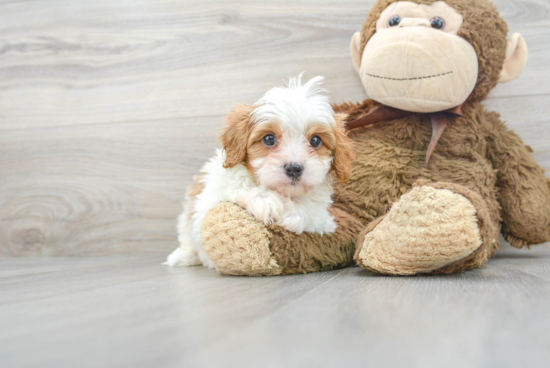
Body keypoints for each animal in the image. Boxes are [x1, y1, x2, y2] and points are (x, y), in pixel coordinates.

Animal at [166, 76, 356, 268]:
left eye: (316, 141)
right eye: (269, 139)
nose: (294, 168)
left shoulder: (325, 221)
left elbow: (312, 213)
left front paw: (291, 212)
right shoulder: (209, 199)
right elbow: (234, 190)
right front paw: (267, 201)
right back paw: (183, 256)